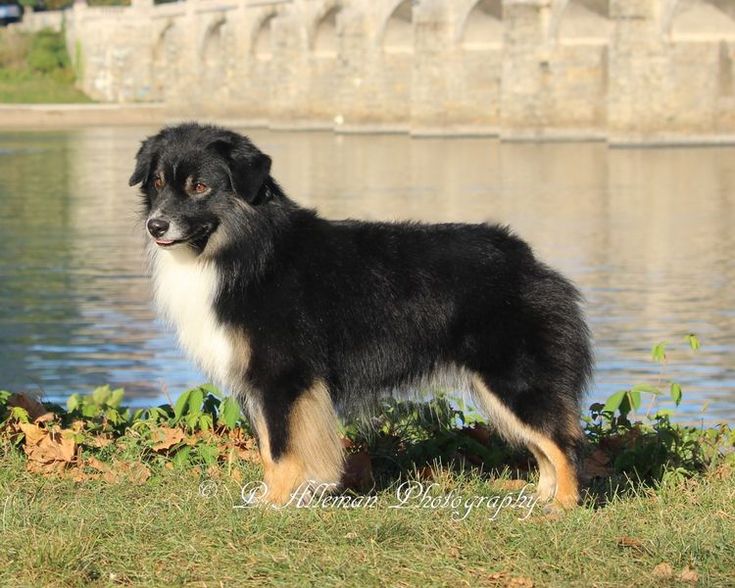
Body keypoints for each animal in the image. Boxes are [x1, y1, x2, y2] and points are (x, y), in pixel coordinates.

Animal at [129, 121, 596, 508]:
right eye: (157, 182)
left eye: (200, 187)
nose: (156, 226)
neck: (247, 251)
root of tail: (527, 260)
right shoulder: (261, 381)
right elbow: (266, 446)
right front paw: (274, 497)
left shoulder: (283, 375)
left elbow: (280, 448)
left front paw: (274, 503)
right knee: (545, 444)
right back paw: (540, 499)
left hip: (515, 377)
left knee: (563, 441)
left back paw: (562, 506)